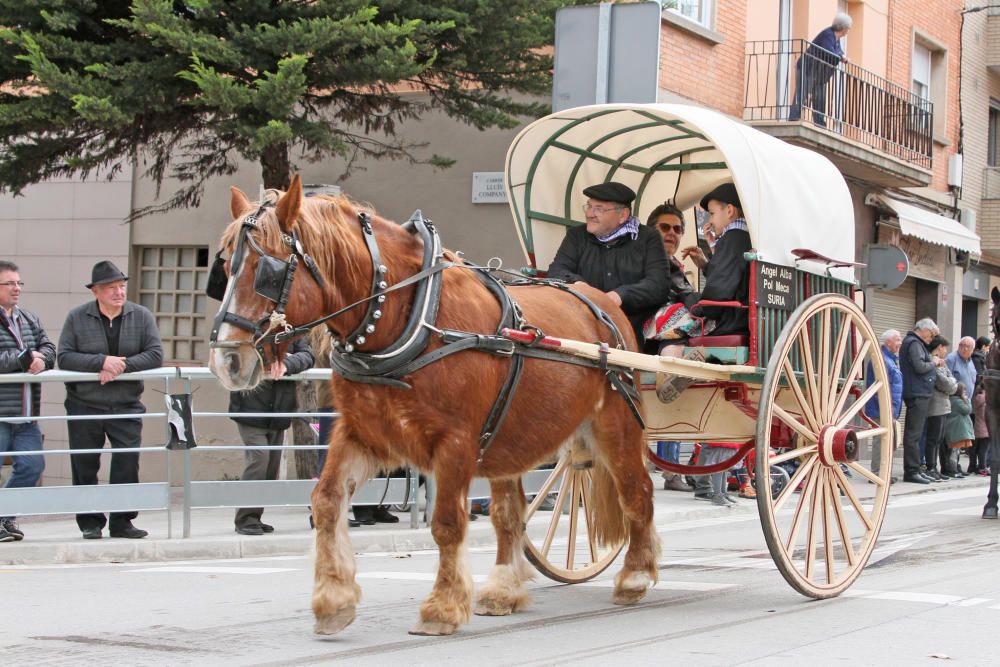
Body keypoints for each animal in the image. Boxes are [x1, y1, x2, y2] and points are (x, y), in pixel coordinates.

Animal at [208, 176, 660, 636]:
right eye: (225, 268)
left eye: (268, 272)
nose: (227, 361)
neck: (413, 316)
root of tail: (604, 304)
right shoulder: (361, 434)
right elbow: (327, 500)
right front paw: (334, 599)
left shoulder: (455, 442)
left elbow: (446, 523)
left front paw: (441, 607)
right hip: (510, 437)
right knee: (509, 514)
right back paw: (504, 589)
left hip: (615, 424)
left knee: (637, 492)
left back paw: (635, 576)